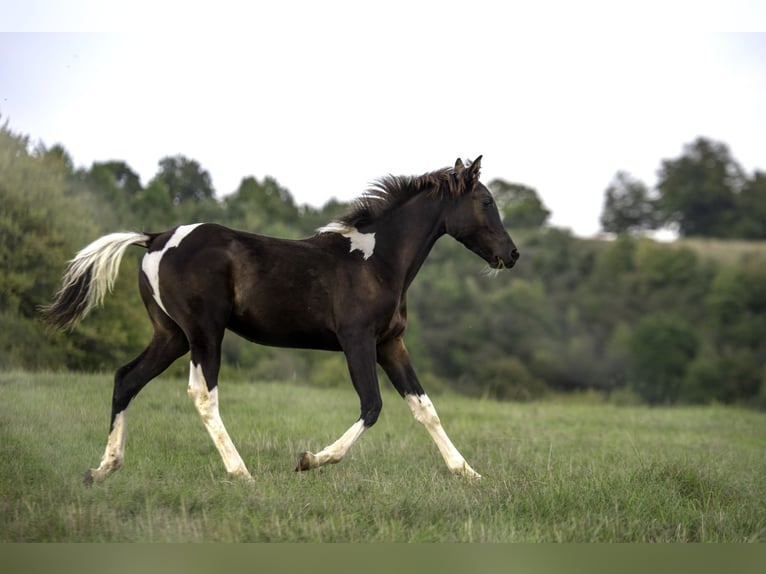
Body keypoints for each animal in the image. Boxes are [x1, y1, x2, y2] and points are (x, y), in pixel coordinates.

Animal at [42, 156, 519, 485]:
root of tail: (156, 237)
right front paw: (310, 460)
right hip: (203, 332)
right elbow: (373, 406)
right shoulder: (357, 341)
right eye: (486, 200)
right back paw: (241, 473)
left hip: (171, 335)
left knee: (126, 378)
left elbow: (425, 408)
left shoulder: (391, 344)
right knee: (203, 394)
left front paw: (468, 473)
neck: (377, 261)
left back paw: (103, 469)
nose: (511, 254)